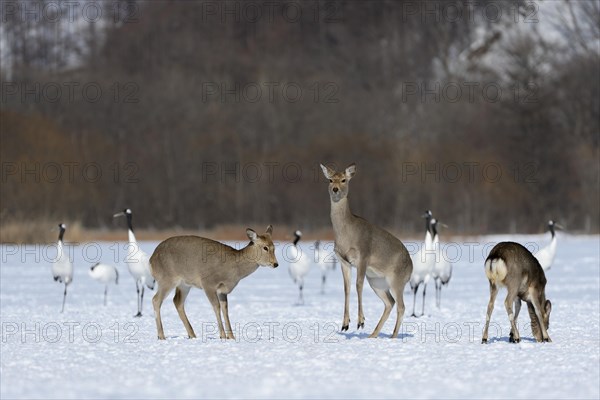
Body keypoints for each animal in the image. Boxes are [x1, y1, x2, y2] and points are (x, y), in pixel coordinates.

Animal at [318, 162, 412, 338]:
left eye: (344, 179)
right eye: (329, 179)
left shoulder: (363, 256)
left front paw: (360, 321)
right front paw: (345, 324)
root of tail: (411, 267)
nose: (335, 189)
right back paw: (373, 335)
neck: (346, 234)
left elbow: (358, 285)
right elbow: (347, 288)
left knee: (401, 306)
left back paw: (393, 336)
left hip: (397, 280)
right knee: (390, 302)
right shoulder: (343, 261)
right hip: (376, 281)